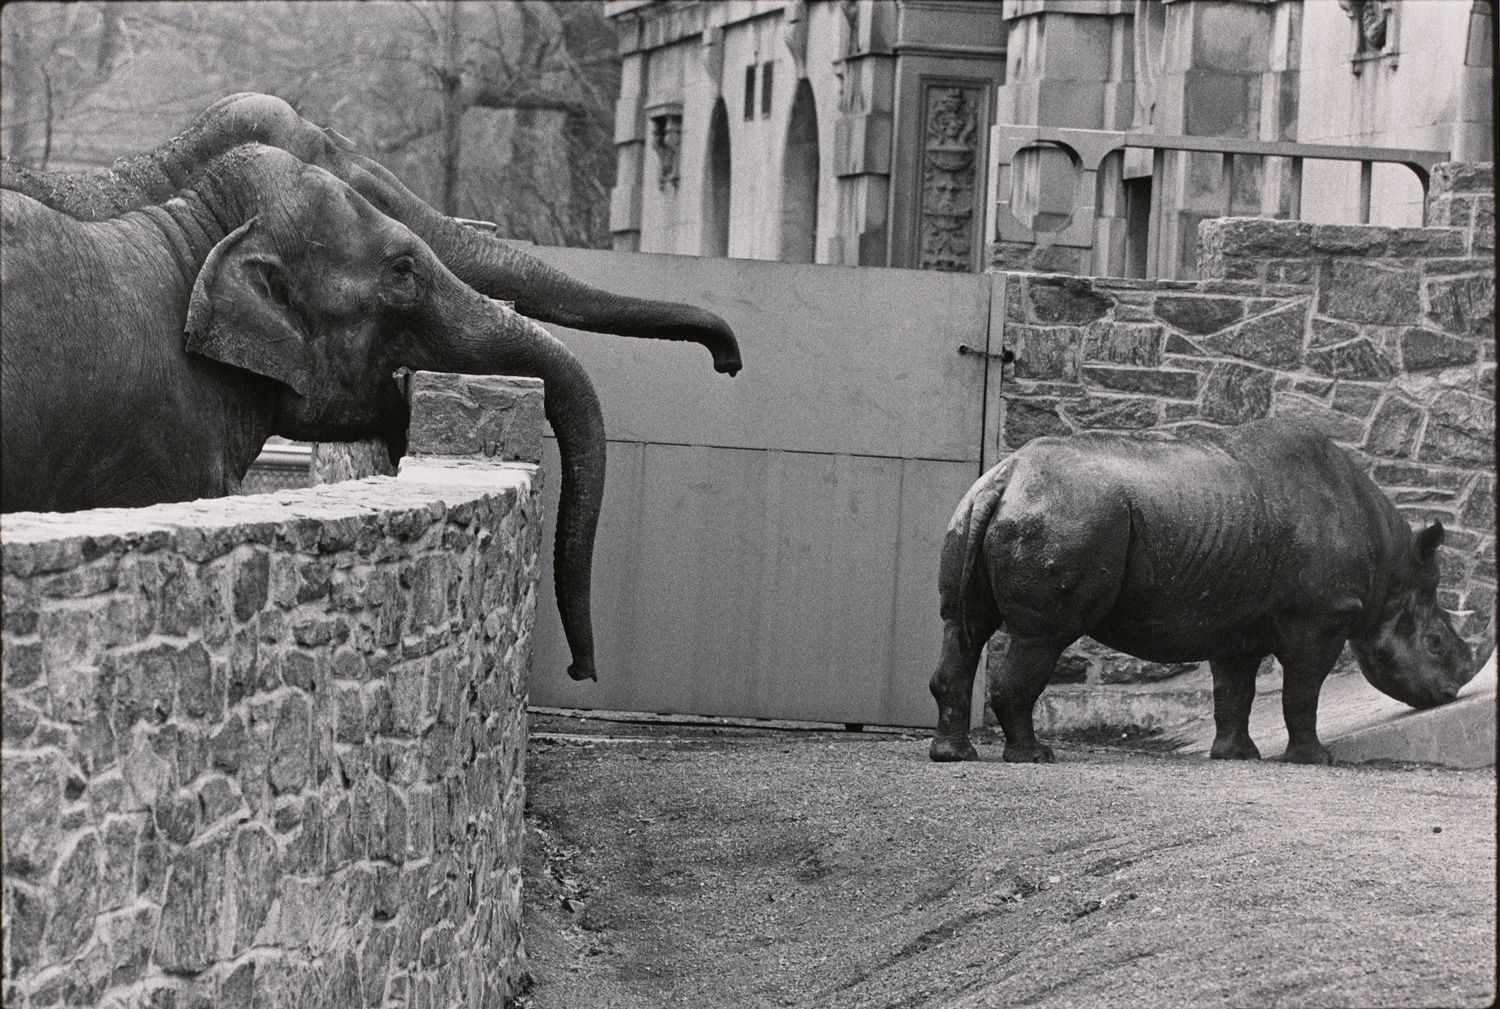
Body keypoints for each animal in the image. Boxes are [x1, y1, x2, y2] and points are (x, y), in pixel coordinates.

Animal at [928, 418, 1477, 765]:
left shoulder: (1234, 620)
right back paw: (1035, 758)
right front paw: (1316, 760)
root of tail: (1007, 477)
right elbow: (1303, 689)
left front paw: (1237, 757)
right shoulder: (1320, 616)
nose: (1449, 694)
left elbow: (1234, 689)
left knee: (961, 626)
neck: (1390, 570)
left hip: (981, 509)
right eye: (1435, 645)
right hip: (1066, 515)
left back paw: (953, 755)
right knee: (1041, 636)